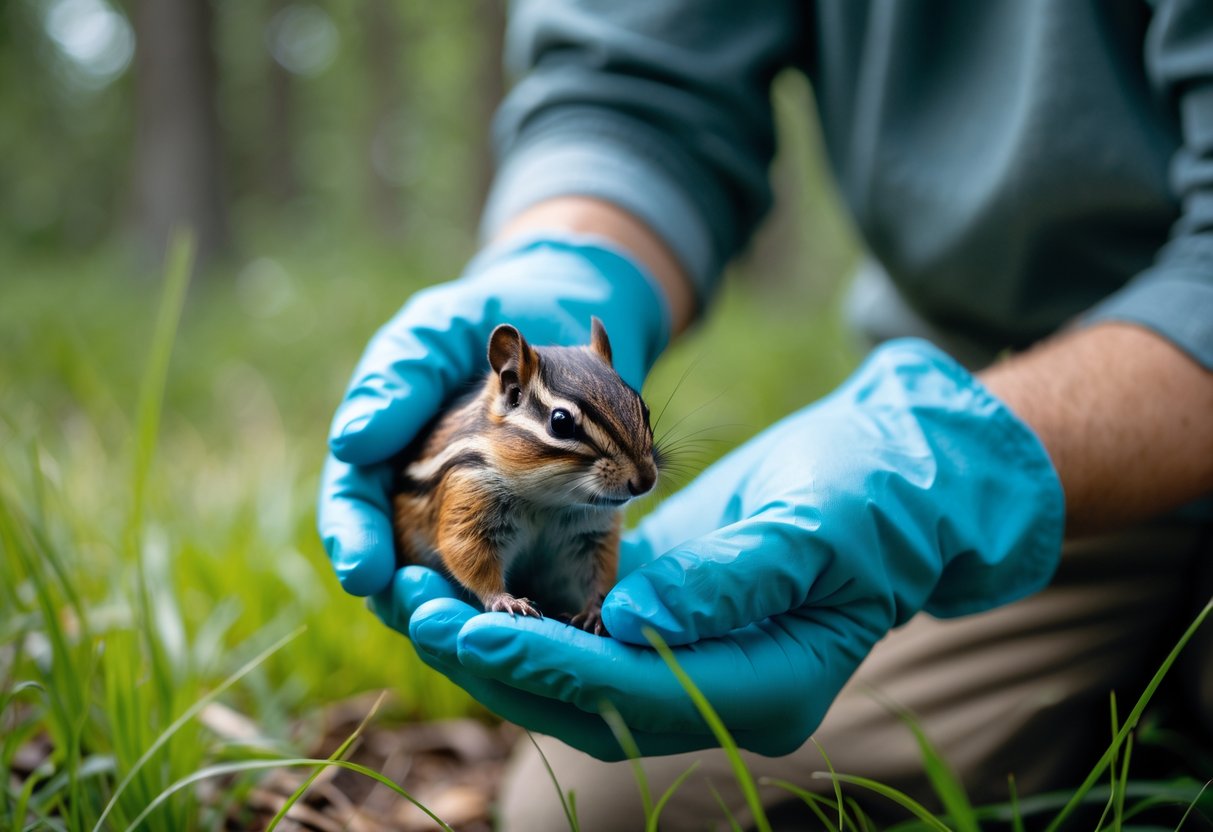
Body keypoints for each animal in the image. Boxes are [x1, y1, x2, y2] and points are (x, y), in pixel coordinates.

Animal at [392, 318, 658, 636]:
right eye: (561, 422)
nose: (645, 481)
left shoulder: (591, 536)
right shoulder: (469, 494)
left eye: (643, 408)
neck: (547, 501)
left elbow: (599, 571)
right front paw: (506, 600)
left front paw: (594, 611)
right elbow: (468, 555)